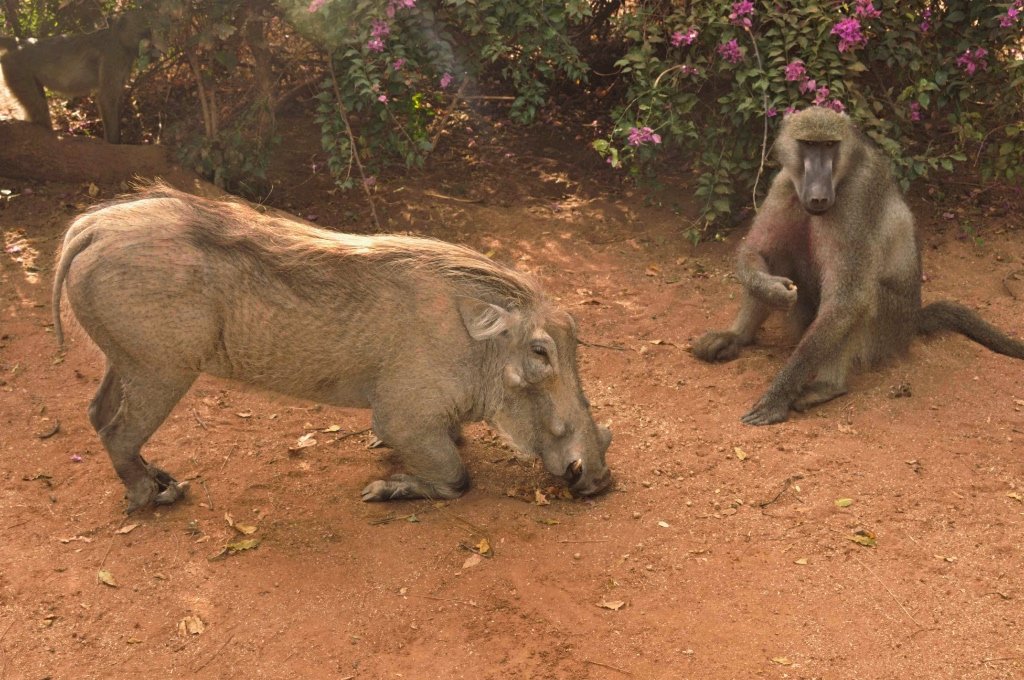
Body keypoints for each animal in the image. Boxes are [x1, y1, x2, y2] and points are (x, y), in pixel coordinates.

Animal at [0, 11, 151, 143]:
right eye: (145, 32)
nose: (149, 45)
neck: (117, 36)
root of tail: (22, 43)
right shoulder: (114, 55)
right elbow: (107, 98)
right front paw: (114, 143)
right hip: (16, 67)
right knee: (39, 107)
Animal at [52, 185, 613, 513]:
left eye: (575, 336)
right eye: (540, 353)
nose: (599, 479)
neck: (477, 345)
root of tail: (92, 226)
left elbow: (450, 446)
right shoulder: (404, 416)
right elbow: (457, 476)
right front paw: (386, 490)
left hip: (125, 360)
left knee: (98, 414)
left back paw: (158, 479)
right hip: (160, 370)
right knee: (118, 432)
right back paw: (156, 496)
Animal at [692, 105, 1024, 426]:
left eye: (829, 145)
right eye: (808, 144)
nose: (818, 195)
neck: (844, 171)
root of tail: (914, 318)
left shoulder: (857, 197)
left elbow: (848, 300)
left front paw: (778, 396)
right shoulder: (785, 183)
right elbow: (758, 252)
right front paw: (770, 290)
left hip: (890, 328)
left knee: (862, 300)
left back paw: (828, 386)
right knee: (780, 255)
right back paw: (735, 338)